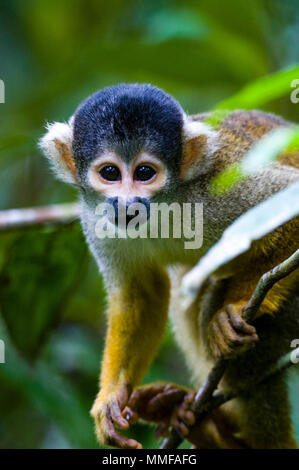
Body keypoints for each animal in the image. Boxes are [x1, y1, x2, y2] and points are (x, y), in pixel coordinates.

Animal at [40, 83, 299, 448]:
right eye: (110, 173)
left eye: (145, 173)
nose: (127, 204)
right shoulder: (94, 219)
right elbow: (141, 294)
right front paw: (111, 397)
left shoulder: (215, 191)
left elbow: (288, 202)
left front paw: (235, 307)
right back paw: (199, 423)